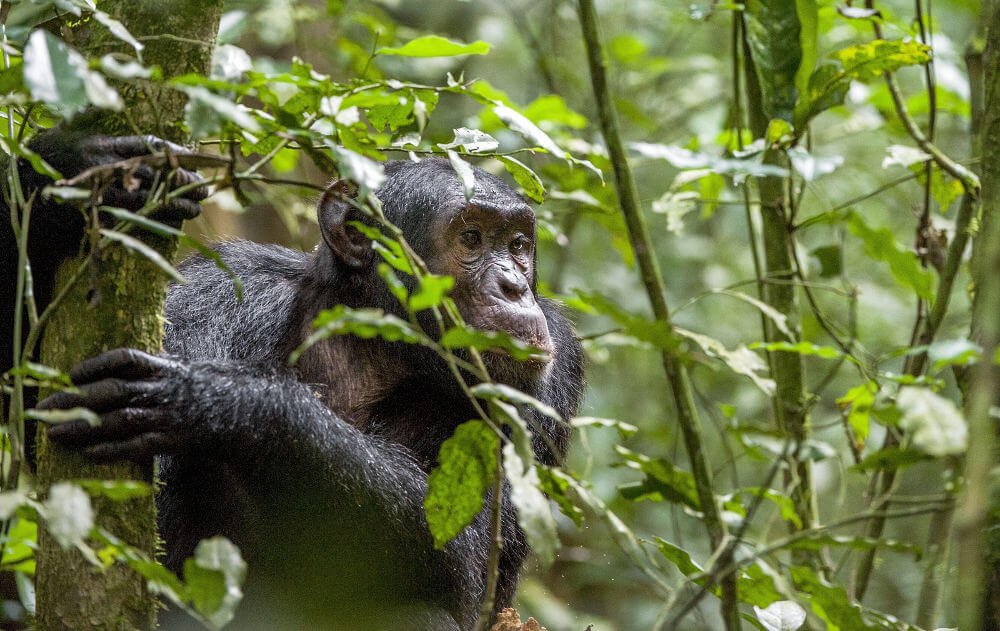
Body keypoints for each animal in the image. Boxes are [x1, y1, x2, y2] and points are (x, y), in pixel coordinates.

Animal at [0, 126, 584, 628]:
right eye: (472, 237)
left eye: (517, 245)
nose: (513, 287)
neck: (370, 346)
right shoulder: (211, 292)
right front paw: (68, 170)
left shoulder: (554, 370)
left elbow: (461, 552)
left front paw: (217, 400)